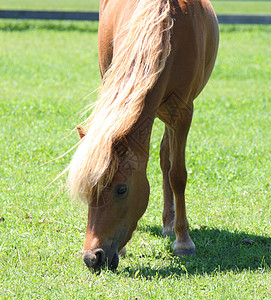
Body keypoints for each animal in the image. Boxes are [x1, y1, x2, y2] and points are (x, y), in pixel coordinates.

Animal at [67, 0, 219, 272]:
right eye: (89, 191)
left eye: (122, 189)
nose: (92, 258)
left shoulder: (182, 113)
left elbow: (177, 175)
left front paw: (184, 242)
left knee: (167, 161)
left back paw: (170, 226)